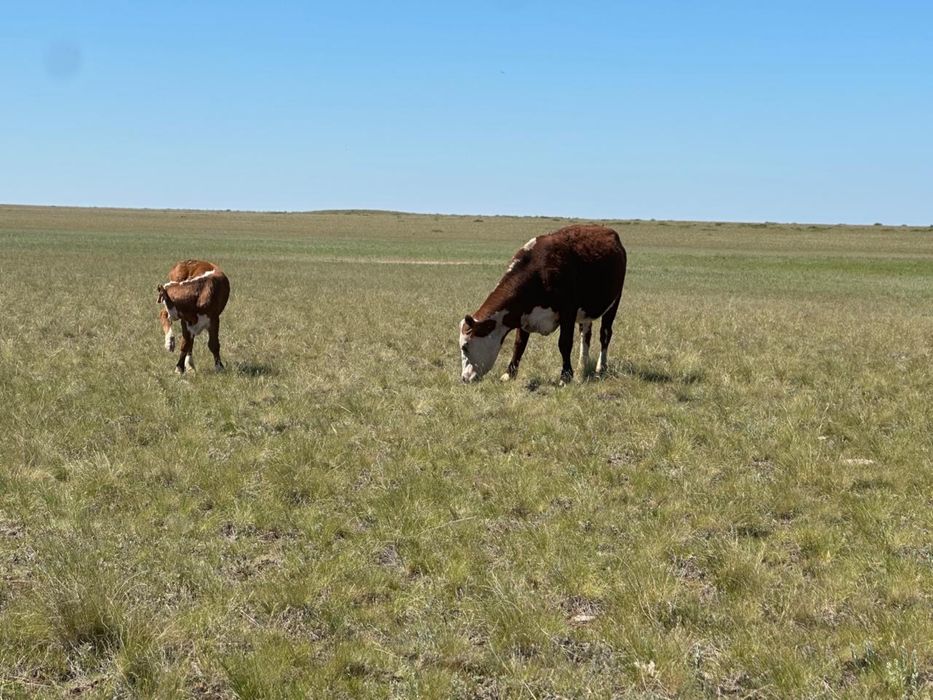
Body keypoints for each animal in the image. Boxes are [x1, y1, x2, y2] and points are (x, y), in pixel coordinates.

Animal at [459, 224, 627, 383]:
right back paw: (582, 366)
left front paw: (565, 376)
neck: (539, 272)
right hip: (585, 312)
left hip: (614, 302)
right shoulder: (524, 314)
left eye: (465, 347)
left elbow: (564, 343)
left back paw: (601, 368)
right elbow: (519, 344)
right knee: (585, 334)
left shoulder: (568, 312)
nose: (464, 378)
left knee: (605, 334)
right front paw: (509, 373)